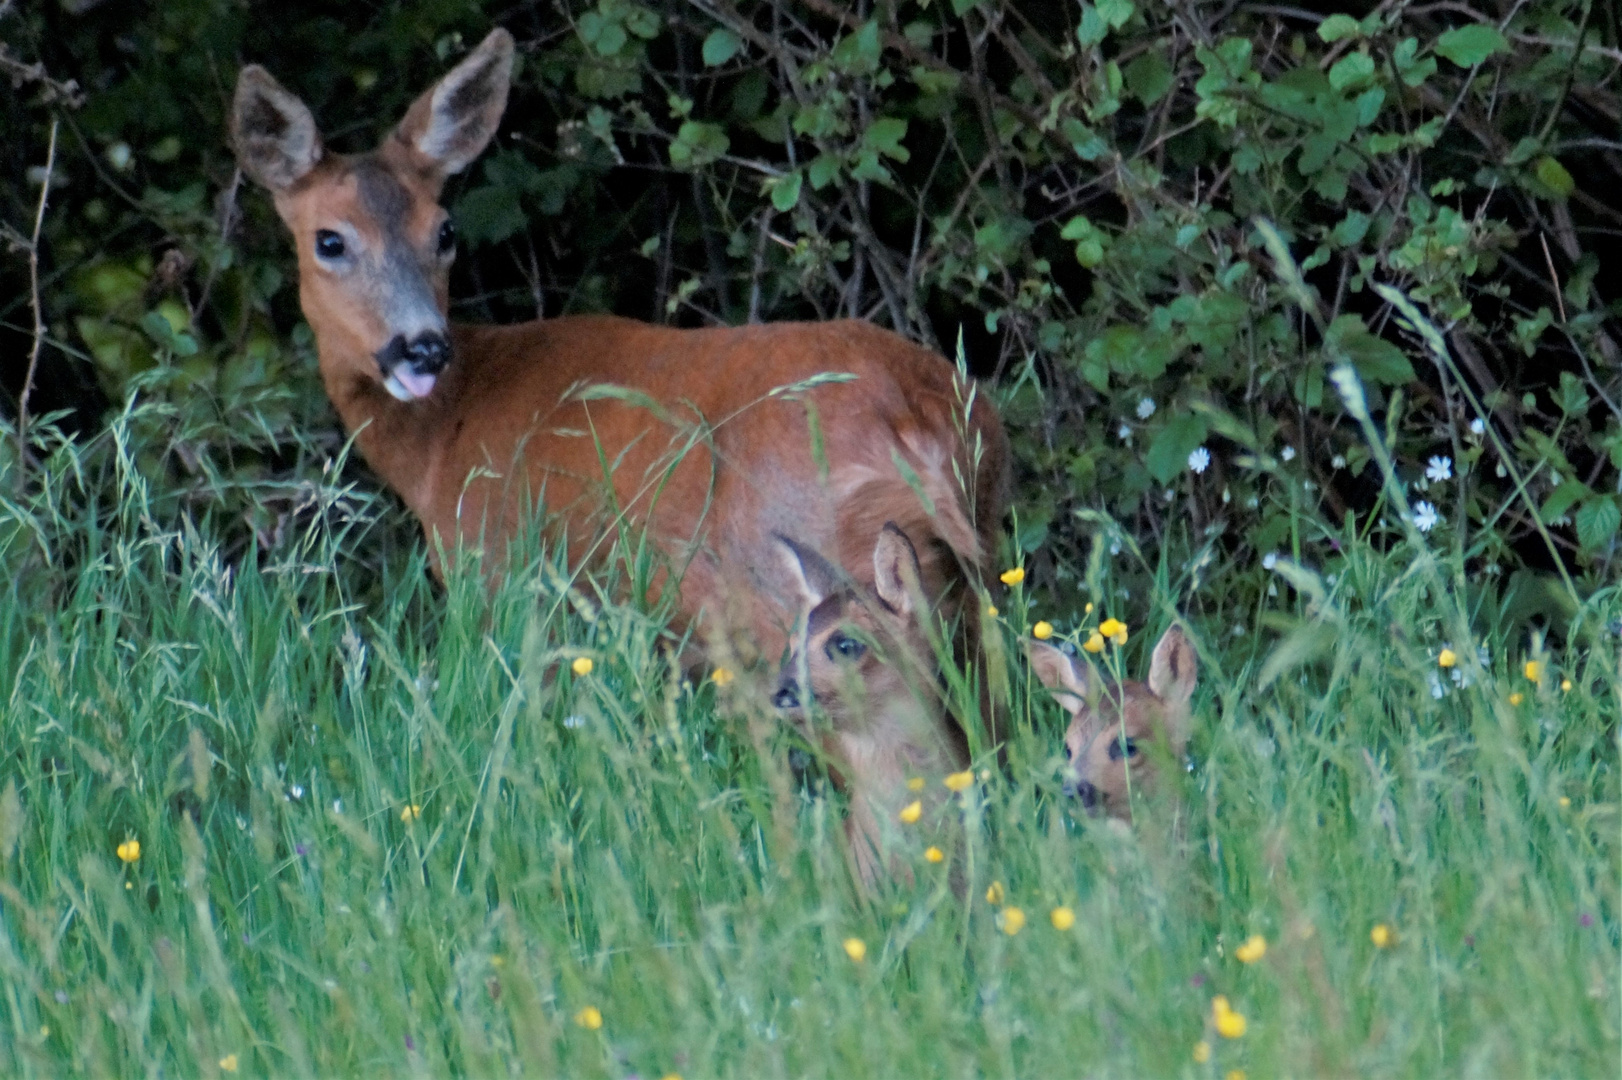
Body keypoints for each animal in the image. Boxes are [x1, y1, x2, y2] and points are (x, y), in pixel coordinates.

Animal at [231, 31, 999, 713]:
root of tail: (912, 421)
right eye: (329, 240)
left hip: (795, 583)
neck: (438, 445)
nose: (421, 346)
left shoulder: (503, 579)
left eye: (443, 231)